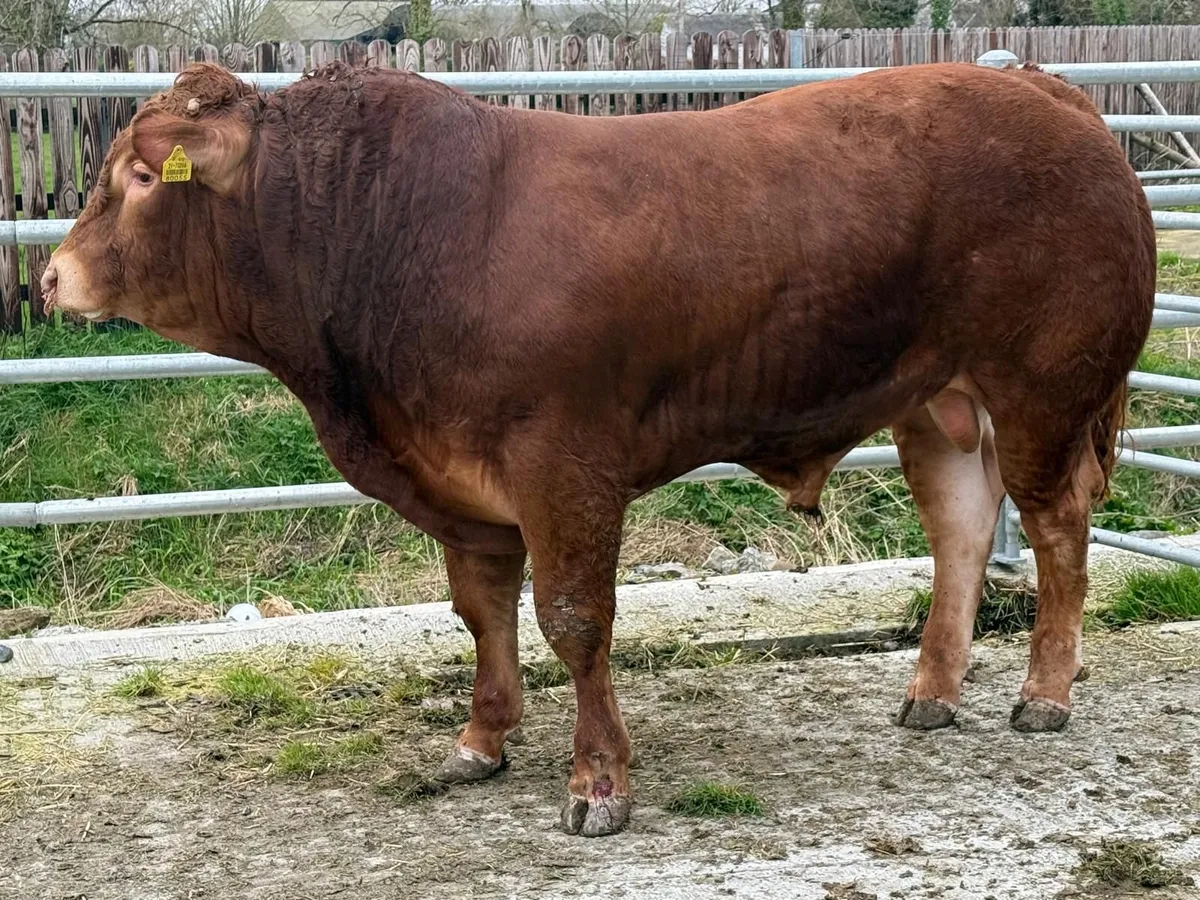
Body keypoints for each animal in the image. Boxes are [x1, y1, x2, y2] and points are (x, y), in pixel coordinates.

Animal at [43, 60, 1155, 837]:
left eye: (139, 175)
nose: (52, 277)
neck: (388, 233)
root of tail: (1047, 91)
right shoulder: (460, 482)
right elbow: (482, 610)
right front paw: (481, 740)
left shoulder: (564, 466)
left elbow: (573, 621)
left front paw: (599, 784)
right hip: (937, 404)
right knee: (964, 529)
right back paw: (931, 693)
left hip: (1043, 395)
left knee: (1058, 530)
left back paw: (1043, 696)